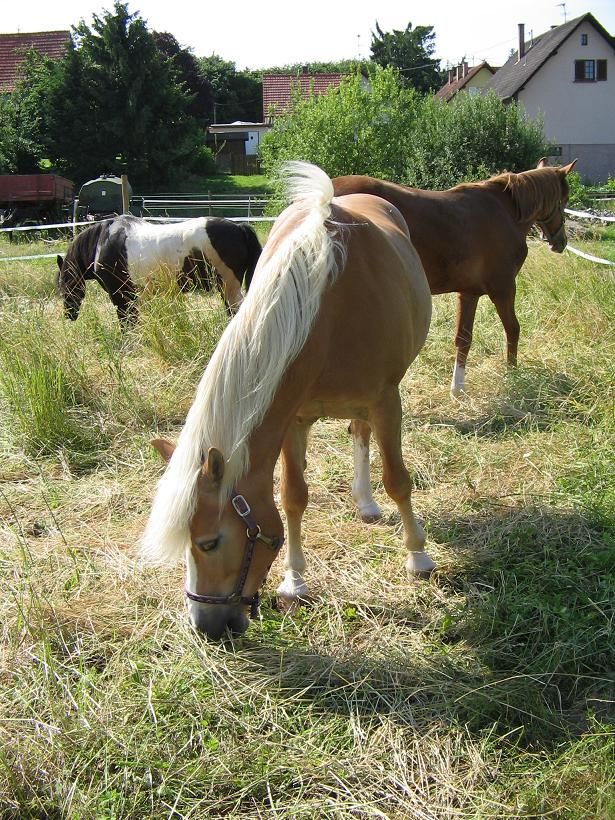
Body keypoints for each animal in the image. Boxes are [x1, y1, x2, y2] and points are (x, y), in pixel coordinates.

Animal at [56, 214, 262, 325]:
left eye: (64, 285)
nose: (69, 315)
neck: (103, 242)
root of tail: (239, 227)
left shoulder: (121, 296)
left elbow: (127, 323)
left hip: (229, 289)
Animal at [141, 161, 433, 639]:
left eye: (209, 542)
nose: (206, 627)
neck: (324, 306)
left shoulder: (386, 401)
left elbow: (398, 481)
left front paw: (418, 557)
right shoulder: (293, 418)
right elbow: (292, 497)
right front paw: (294, 581)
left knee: (364, 437)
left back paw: (371, 504)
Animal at [332, 159, 577, 395]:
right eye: (563, 199)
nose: (561, 241)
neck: (505, 212)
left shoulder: (469, 293)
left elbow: (463, 338)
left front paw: (457, 388)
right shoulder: (504, 289)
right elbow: (512, 329)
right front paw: (513, 375)